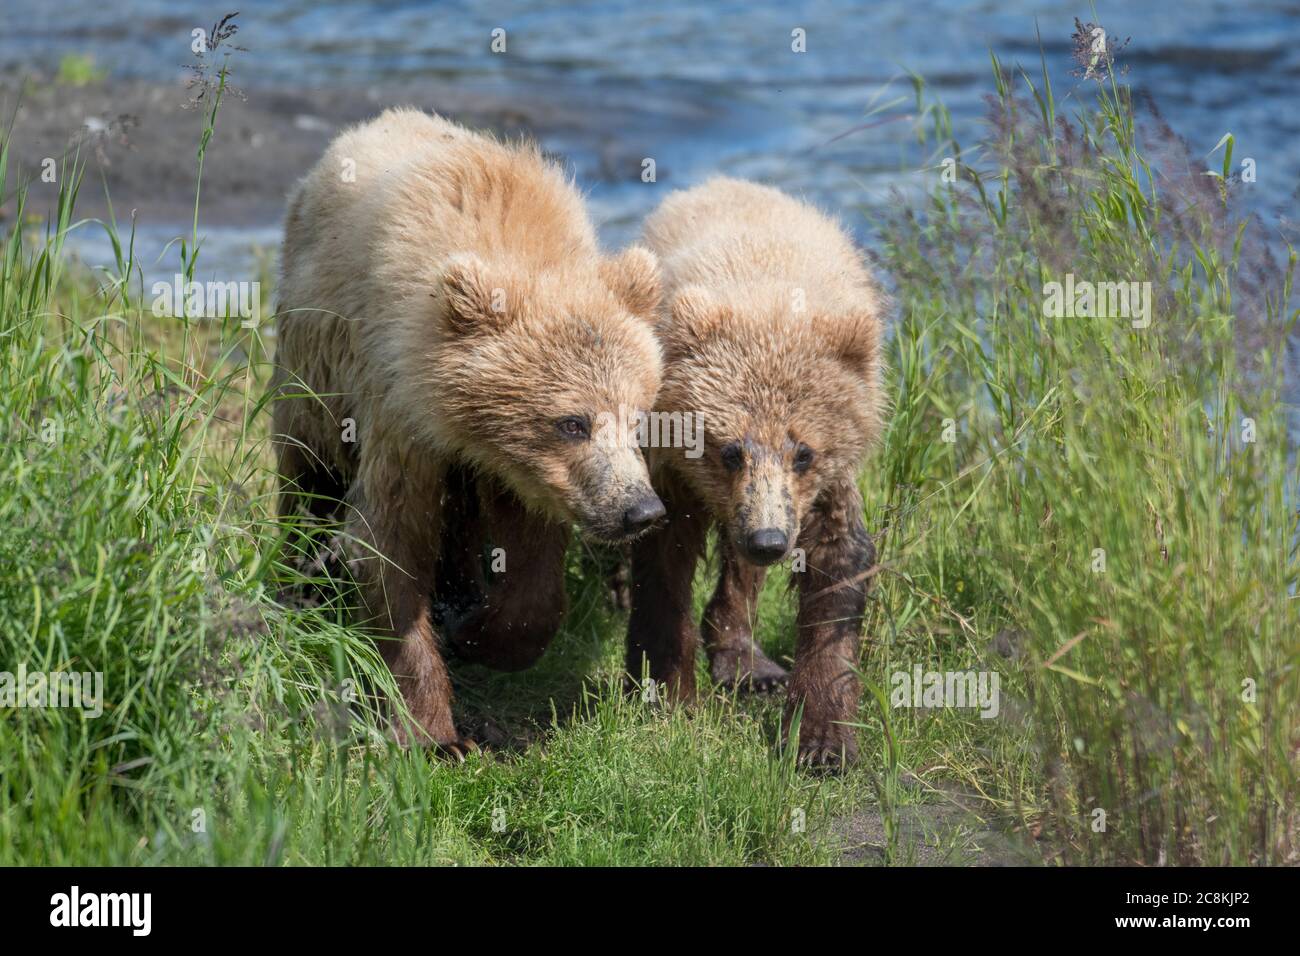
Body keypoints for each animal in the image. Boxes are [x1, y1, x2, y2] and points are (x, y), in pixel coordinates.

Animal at [271, 107, 666, 757]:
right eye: (573, 421)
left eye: (638, 416)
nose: (641, 510)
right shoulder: (396, 409)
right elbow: (388, 540)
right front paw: (433, 731)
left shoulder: (521, 470)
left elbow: (530, 565)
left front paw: (478, 630)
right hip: (313, 364)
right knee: (308, 470)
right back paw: (296, 577)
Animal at [627, 177, 886, 769]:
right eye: (728, 450)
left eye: (804, 452)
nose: (768, 539)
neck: (766, 298)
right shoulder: (673, 468)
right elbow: (665, 562)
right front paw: (669, 692)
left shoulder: (822, 488)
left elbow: (838, 569)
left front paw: (821, 738)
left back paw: (748, 662)